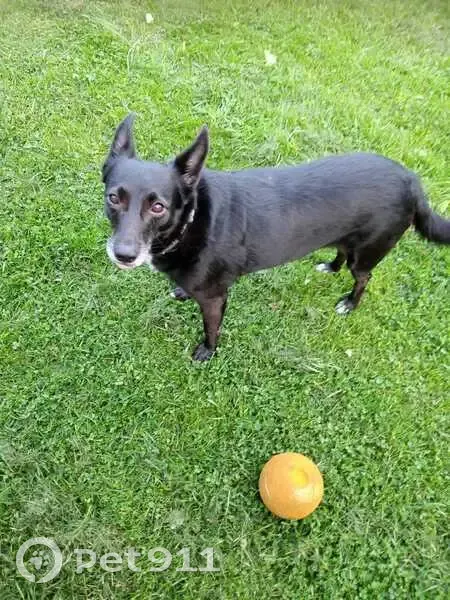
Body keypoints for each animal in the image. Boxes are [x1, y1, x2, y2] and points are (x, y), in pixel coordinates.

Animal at [103, 114, 450, 361]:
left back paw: (350, 303)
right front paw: (181, 292)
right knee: (341, 252)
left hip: (368, 252)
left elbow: (211, 328)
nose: (124, 254)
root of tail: (411, 179)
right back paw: (331, 267)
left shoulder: (215, 299)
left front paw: (207, 352)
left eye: (158, 207)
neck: (191, 221)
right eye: (114, 198)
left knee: (365, 277)